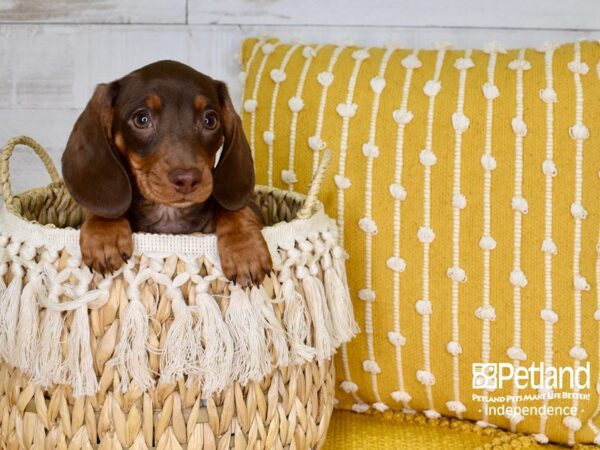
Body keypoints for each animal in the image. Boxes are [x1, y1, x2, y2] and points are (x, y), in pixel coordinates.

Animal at [62, 59, 274, 286]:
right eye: (142, 119)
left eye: (210, 120)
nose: (187, 180)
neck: (169, 213)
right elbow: (107, 210)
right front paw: (104, 231)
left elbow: (234, 208)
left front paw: (245, 248)